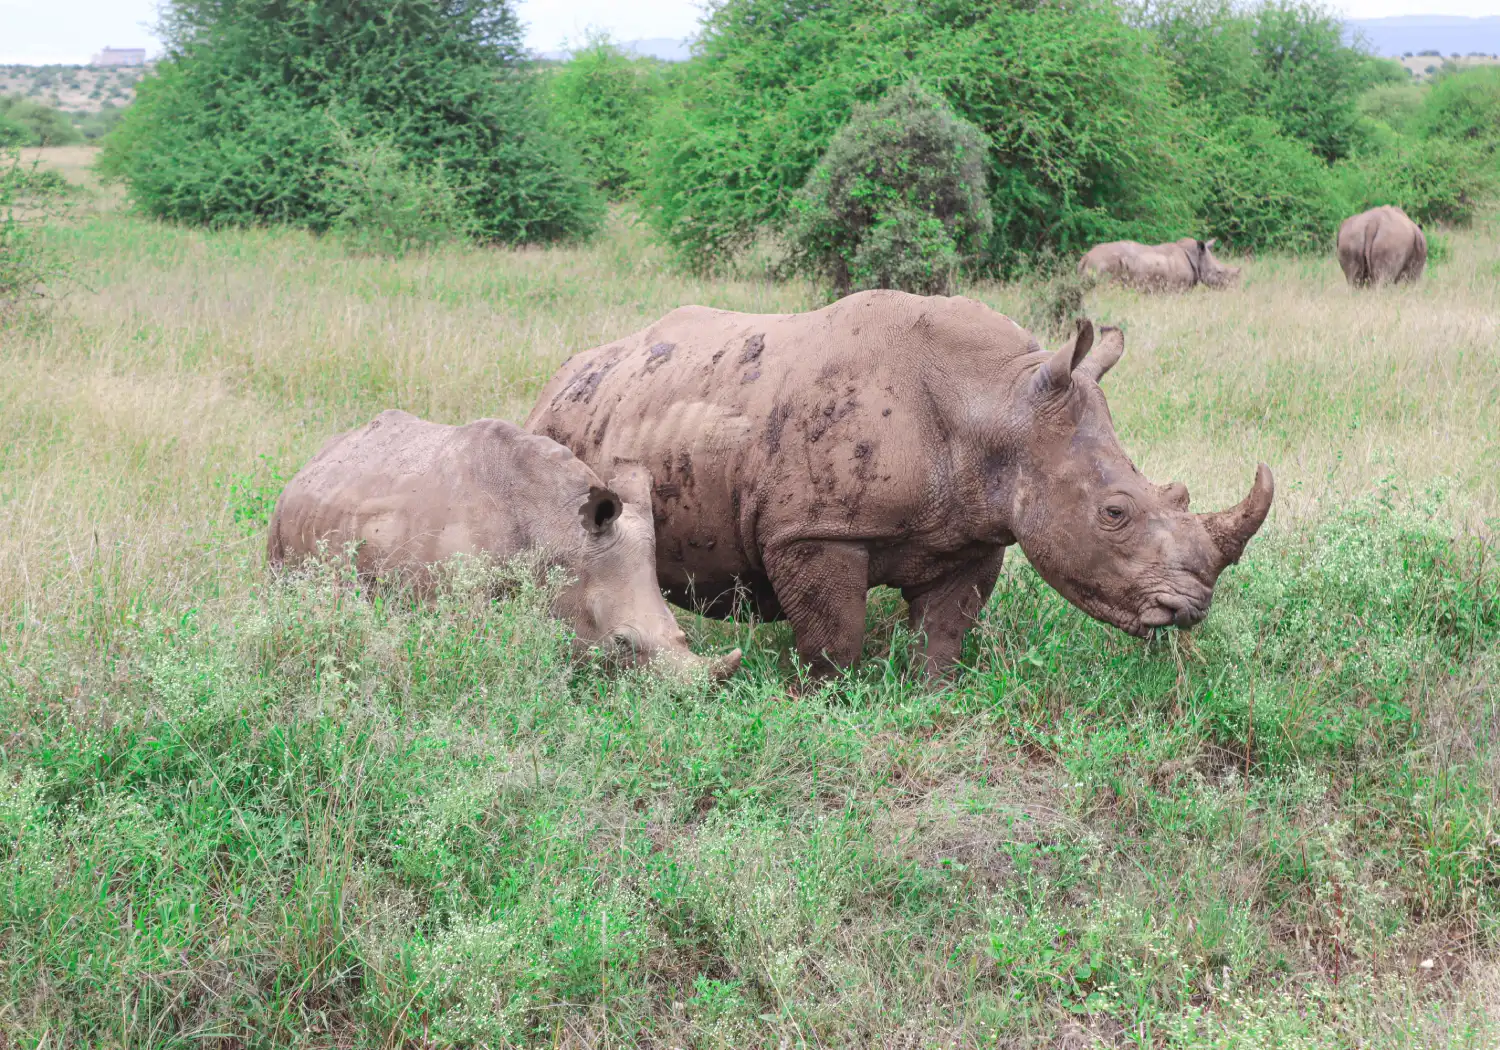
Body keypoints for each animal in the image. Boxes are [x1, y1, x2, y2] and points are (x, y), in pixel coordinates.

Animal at [268, 410, 742, 678]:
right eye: (622, 645)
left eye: (682, 631)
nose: (695, 692)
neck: (555, 528)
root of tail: (310, 462)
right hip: (280, 523)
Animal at [525, 291, 1273, 678]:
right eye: (1115, 513)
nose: (1190, 609)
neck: (997, 401)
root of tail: (558, 378)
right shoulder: (813, 530)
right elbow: (835, 634)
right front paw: (824, 698)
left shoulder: (975, 530)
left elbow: (945, 629)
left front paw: (930, 690)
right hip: (565, 429)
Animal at [1078, 238, 1241, 292]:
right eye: (1219, 272)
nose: (1232, 287)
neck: (1197, 257)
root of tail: (1085, 258)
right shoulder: (1177, 288)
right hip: (1104, 263)